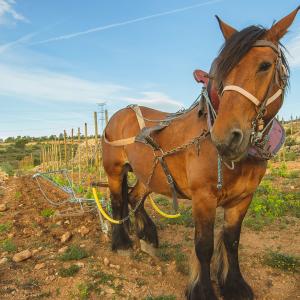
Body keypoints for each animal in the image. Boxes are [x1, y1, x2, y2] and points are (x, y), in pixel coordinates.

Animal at [102, 6, 298, 300]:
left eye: (265, 65)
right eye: (223, 71)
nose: (226, 138)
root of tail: (118, 113)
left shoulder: (244, 198)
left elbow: (231, 241)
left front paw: (234, 285)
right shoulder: (203, 197)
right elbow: (204, 246)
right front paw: (203, 289)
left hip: (150, 173)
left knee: (134, 197)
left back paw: (148, 238)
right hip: (114, 170)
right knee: (117, 201)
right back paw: (122, 243)